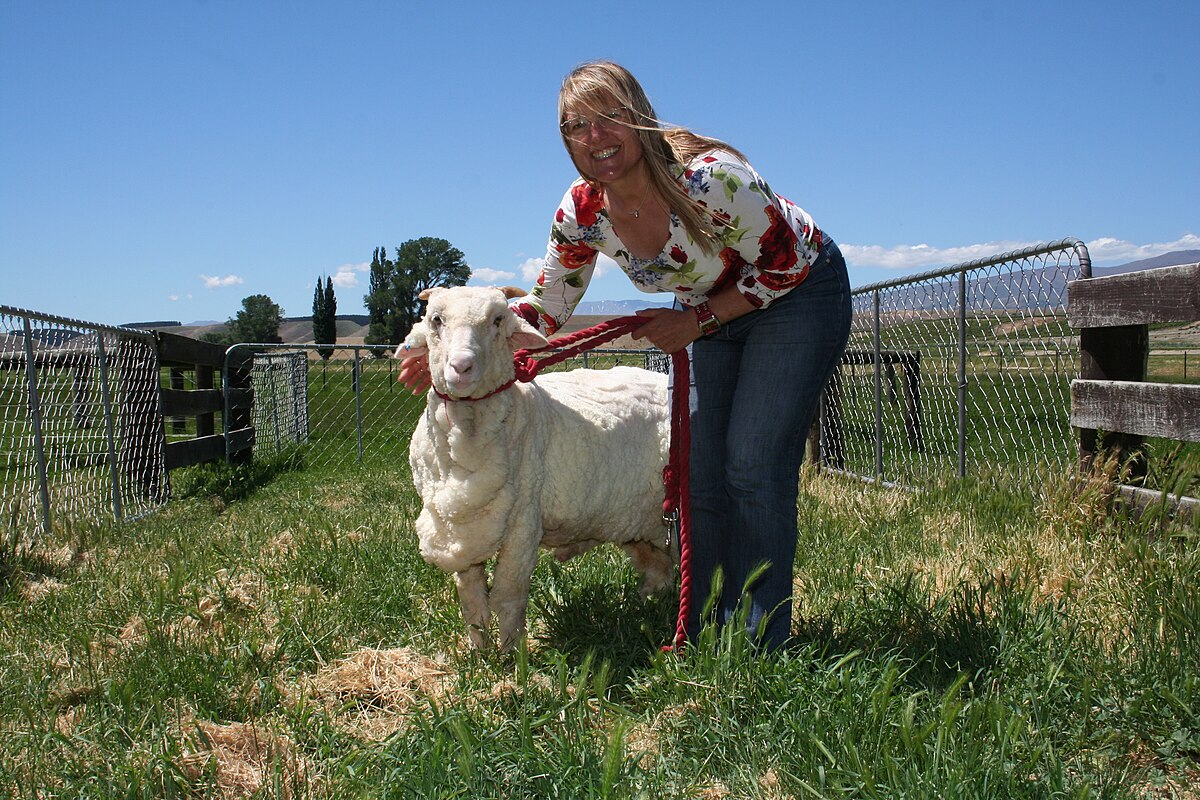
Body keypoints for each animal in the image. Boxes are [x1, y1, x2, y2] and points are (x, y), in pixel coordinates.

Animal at [396, 286, 672, 652]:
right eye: (435, 320)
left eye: (498, 320)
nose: (461, 366)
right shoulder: (462, 531)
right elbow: (473, 601)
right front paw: (478, 653)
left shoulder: (523, 525)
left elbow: (507, 596)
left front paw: (511, 654)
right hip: (639, 518)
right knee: (658, 568)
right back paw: (647, 609)